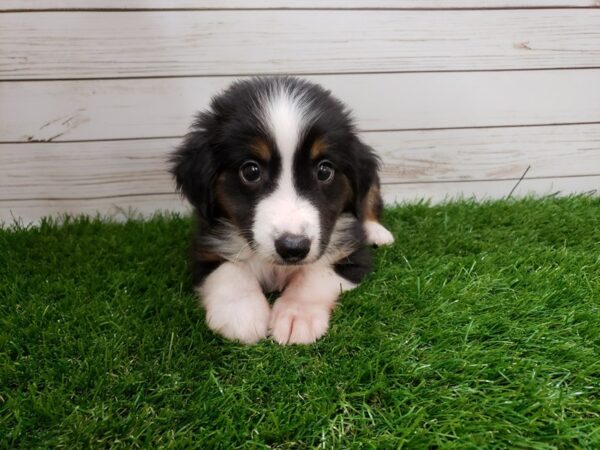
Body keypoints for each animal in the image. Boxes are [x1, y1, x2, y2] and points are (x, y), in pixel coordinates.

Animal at [169, 76, 394, 344]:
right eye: (251, 171)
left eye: (324, 171)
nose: (293, 248)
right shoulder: (204, 248)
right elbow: (229, 271)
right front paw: (243, 315)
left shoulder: (352, 254)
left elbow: (315, 274)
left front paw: (297, 316)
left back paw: (377, 232)